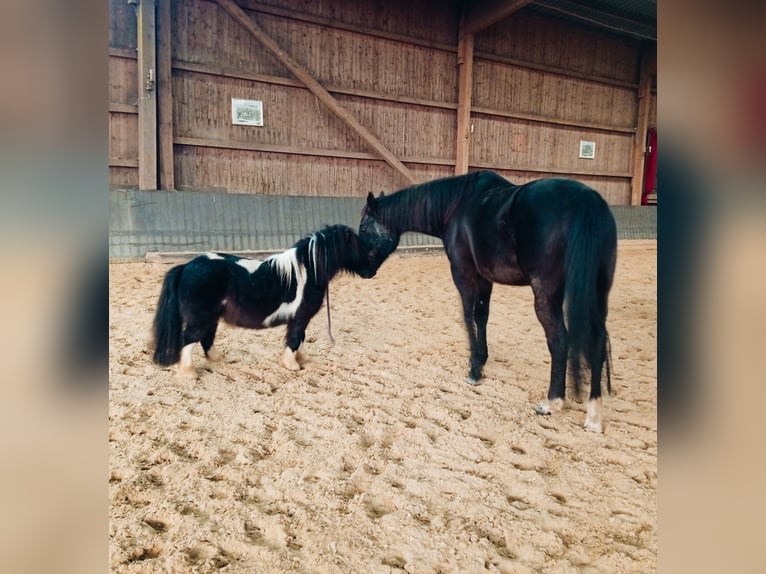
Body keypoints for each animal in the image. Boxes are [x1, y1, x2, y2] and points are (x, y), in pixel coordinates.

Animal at [152, 225, 384, 378]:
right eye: (359, 247)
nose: (371, 272)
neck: (308, 271)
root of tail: (186, 266)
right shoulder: (300, 317)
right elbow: (295, 338)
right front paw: (292, 365)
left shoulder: (298, 319)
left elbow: (299, 338)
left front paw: (301, 359)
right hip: (201, 317)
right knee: (189, 340)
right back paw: (188, 374)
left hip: (211, 317)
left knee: (206, 339)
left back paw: (219, 360)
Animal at [360, 171, 616, 432]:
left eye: (363, 226)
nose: (365, 271)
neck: (456, 205)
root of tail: (586, 199)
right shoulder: (485, 278)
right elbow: (482, 316)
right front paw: (481, 359)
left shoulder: (463, 273)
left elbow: (467, 316)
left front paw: (474, 369)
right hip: (598, 294)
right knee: (598, 341)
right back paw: (594, 415)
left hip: (546, 293)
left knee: (559, 340)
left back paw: (552, 401)